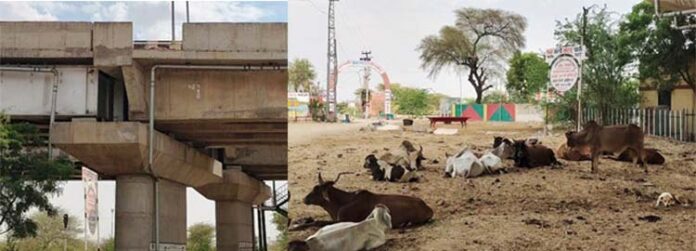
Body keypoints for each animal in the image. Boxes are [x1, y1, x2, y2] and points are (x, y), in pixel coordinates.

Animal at [302, 173, 432, 227]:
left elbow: (318, 222)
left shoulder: (344, 220)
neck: (343, 201)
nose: (305, 199)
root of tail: (428, 208)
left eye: (317, 190)